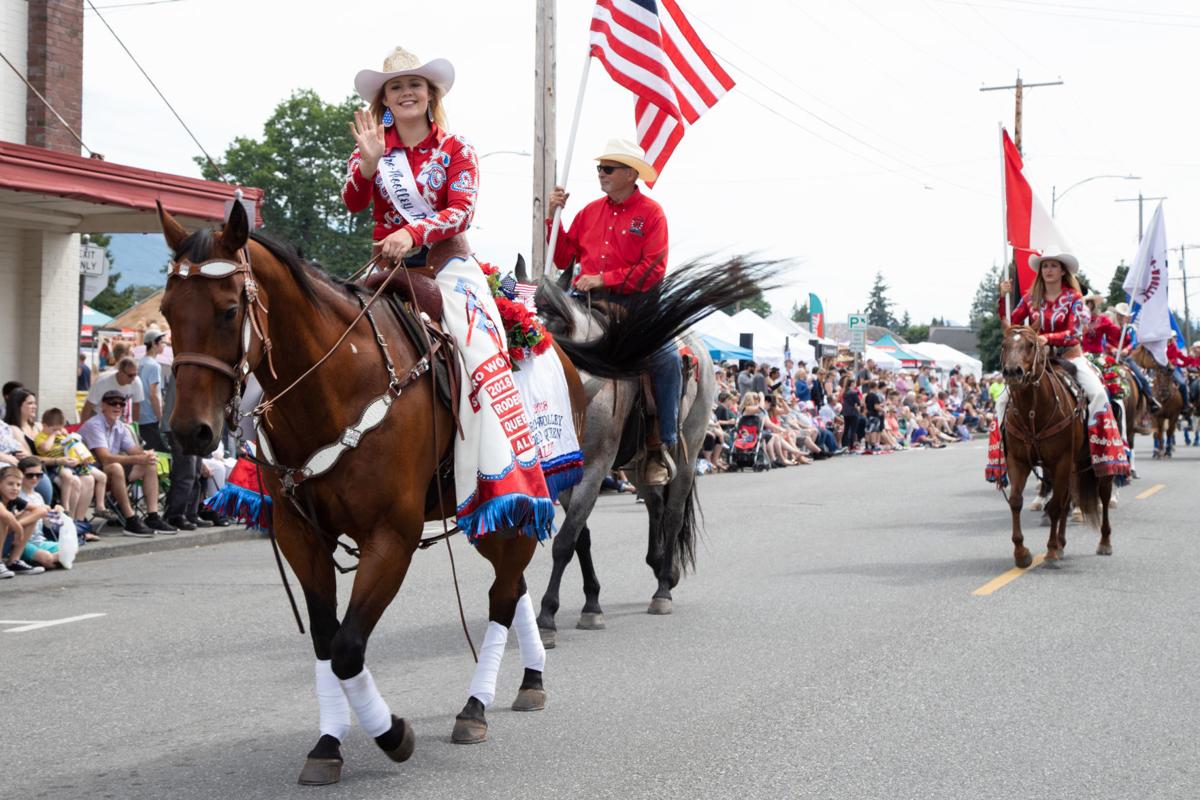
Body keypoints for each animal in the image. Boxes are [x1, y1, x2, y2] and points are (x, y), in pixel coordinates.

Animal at [157, 201, 768, 786]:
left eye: (229, 310)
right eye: (165, 312)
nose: (189, 432)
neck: (340, 385)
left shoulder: (395, 536)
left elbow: (350, 648)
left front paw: (392, 733)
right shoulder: (300, 537)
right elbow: (328, 644)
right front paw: (328, 744)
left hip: (645, 456)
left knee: (572, 558)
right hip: (509, 503)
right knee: (524, 578)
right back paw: (535, 673)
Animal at [993, 326, 1113, 568]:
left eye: (1031, 344)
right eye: (1004, 345)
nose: (1012, 372)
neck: (1033, 412)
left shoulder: (1061, 461)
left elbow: (1056, 506)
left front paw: (1049, 552)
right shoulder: (1018, 461)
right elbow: (1016, 501)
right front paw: (1021, 553)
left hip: (1094, 461)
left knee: (1103, 494)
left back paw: (1104, 542)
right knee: (1066, 500)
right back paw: (1061, 543)